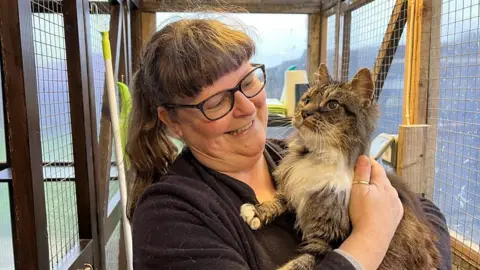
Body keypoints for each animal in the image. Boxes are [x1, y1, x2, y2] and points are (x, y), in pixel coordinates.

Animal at [242, 63, 440, 270]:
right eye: (307, 100)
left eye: (332, 104)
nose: (305, 112)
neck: (319, 157)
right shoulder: (293, 188)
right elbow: (277, 200)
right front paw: (255, 212)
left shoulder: (329, 240)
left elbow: (300, 263)